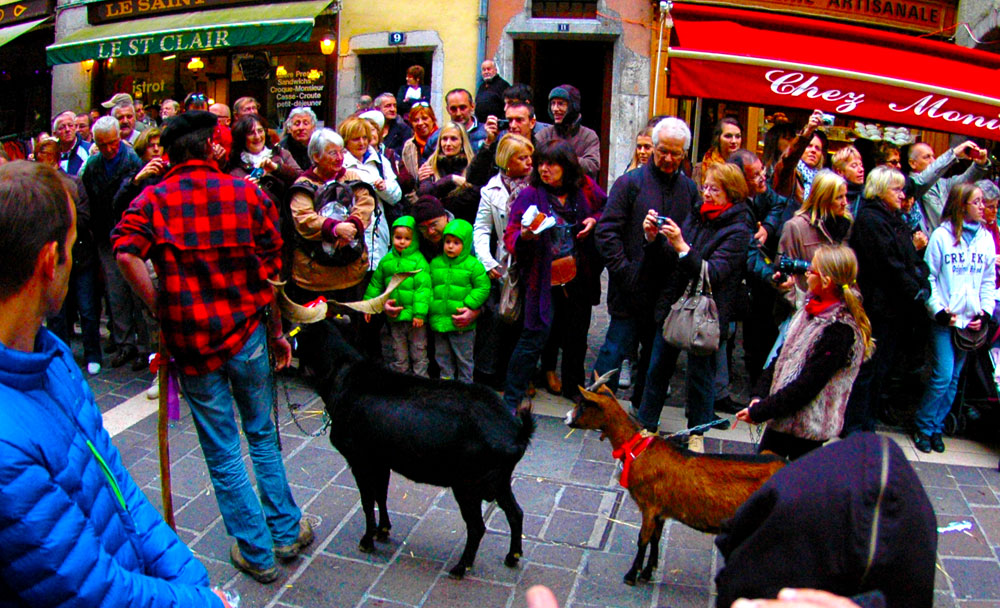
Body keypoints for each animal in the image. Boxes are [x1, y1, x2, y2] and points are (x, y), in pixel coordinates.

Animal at [300, 318, 536, 580]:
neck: (343, 376)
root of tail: (517, 432)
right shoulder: (381, 460)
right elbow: (381, 494)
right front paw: (383, 531)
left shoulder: (359, 458)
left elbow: (367, 500)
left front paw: (367, 541)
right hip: (499, 481)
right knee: (515, 513)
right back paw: (512, 557)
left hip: (468, 484)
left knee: (477, 526)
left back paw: (460, 567)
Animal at [564, 384, 788, 584]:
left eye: (584, 404)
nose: (566, 418)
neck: (639, 448)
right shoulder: (662, 510)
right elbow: (655, 538)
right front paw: (647, 572)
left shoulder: (650, 506)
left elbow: (642, 538)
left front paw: (631, 575)